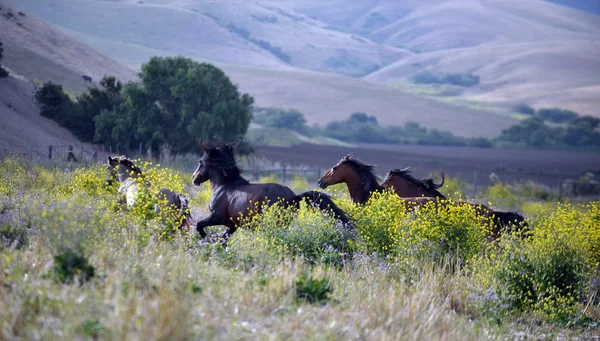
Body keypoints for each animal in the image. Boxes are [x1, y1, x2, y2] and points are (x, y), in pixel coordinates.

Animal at [191, 142, 352, 240]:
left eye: (200, 162)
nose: (194, 178)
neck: (224, 186)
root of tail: (294, 197)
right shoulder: (232, 225)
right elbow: (224, 237)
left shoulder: (217, 217)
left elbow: (199, 225)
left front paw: (207, 239)